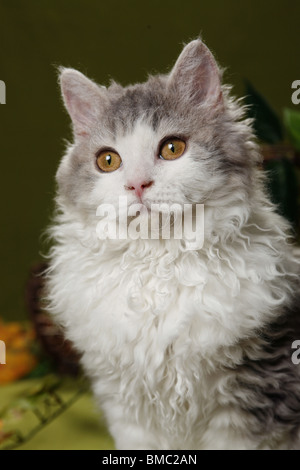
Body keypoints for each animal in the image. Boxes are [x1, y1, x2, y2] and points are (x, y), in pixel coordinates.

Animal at [45, 38, 300, 450]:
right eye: (107, 160)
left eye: (172, 149)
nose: (136, 184)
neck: (159, 262)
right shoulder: (124, 402)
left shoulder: (251, 394)